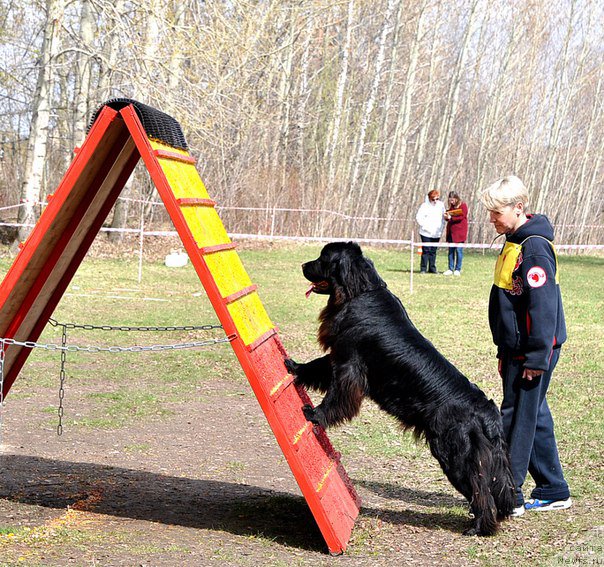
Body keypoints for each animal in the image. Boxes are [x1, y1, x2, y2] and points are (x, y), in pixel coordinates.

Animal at [286, 243, 512, 536]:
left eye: (323, 258)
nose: (303, 265)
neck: (359, 291)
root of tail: (486, 410)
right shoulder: (339, 356)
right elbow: (316, 366)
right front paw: (295, 366)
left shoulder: (349, 366)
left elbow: (336, 396)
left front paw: (315, 415)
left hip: (454, 453)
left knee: (480, 488)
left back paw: (479, 527)